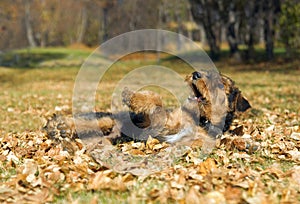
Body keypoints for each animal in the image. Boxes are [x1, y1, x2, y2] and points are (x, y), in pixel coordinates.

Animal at [44, 71, 251, 147]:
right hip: (110, 119)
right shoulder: (161, 122)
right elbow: (155, 99)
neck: (201, 118)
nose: (195, 74)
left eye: (219, 83)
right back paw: (58, 126)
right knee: (83, 121)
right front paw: (131, 95)